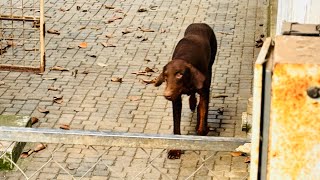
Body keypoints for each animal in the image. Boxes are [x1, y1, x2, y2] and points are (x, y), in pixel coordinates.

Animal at [154, 22, 218, 159]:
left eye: (179, 74)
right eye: (165, 76)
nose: (166, 95)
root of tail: (200, 23)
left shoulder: (204, 92)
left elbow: (203, 111)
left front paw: (202, 129)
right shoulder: (176, 99)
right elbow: (176, 125)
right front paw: (175, 150)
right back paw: (192, 102)